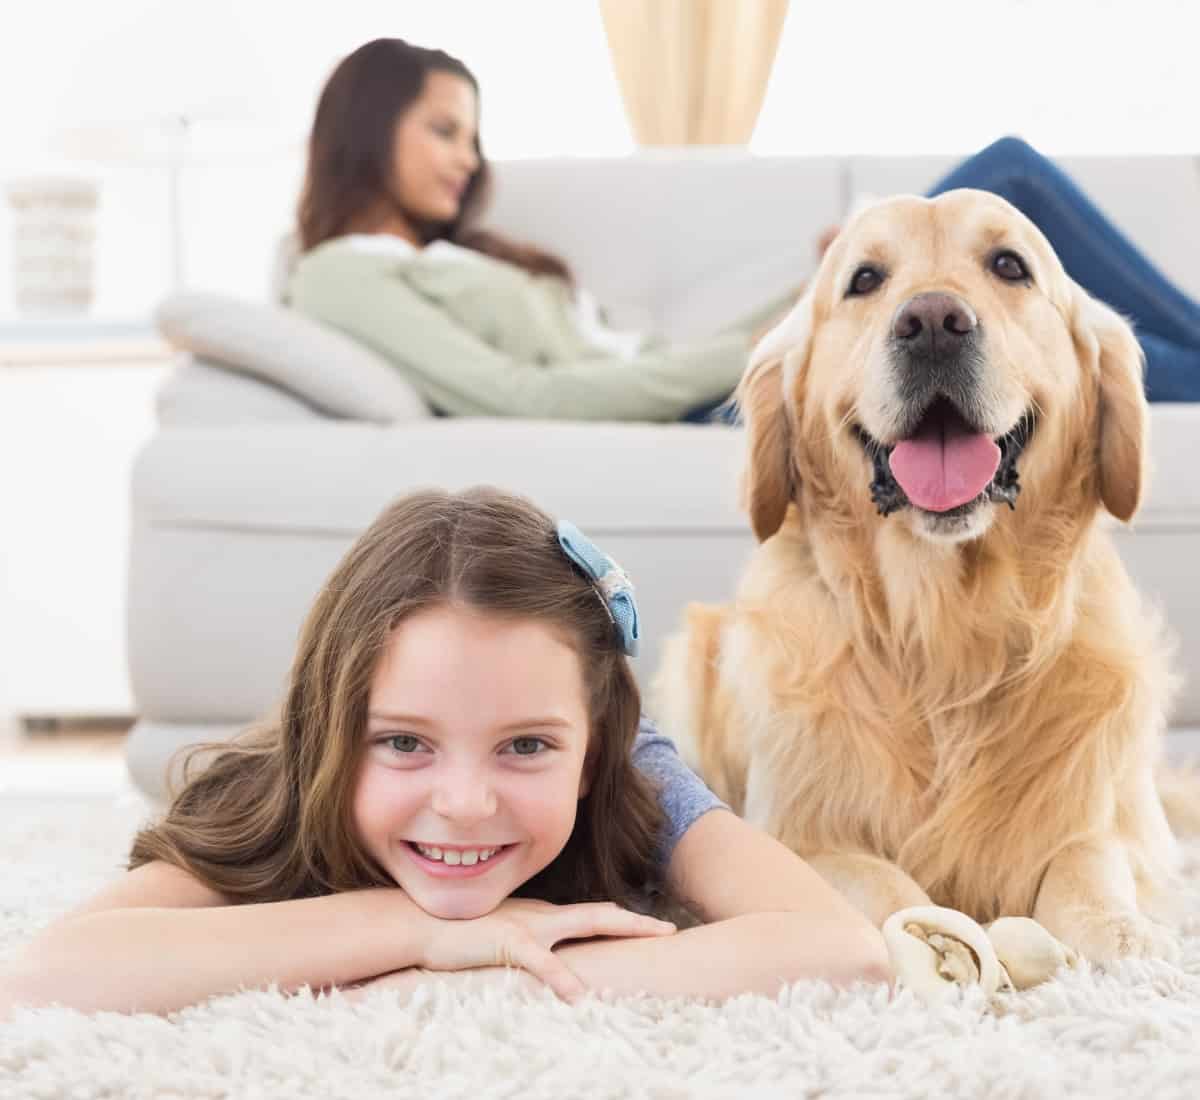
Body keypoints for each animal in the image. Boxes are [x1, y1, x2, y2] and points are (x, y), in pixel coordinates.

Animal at [662, 187, 1185, 959]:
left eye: (1010, 266)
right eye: (865, 280)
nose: (934, 322)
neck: (945, 635)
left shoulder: (1111, 817)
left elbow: (1089, 862)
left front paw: (1128, 942)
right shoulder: (794, 836)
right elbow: (886, 888)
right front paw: (939, 942)